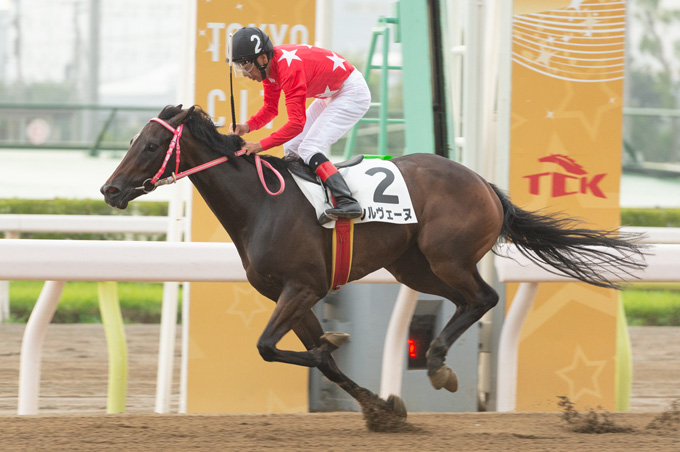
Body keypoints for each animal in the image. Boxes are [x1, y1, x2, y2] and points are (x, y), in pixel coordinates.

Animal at [101, 105, 645, 431]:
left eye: (150, 145)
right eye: (132, 141)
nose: (110, 190)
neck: (262, 204)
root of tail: (484, 184)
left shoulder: (303, 286)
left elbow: (267, 347)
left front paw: (350, 362)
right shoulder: (289, 295)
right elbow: (317, 357)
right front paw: (381, 407)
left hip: (446, 255)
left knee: (484, 298)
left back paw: (438, 364)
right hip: (413, 267)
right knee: (466, 302)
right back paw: (438, 361)